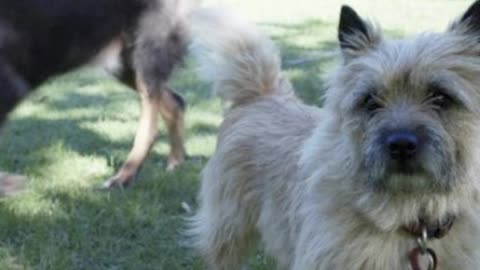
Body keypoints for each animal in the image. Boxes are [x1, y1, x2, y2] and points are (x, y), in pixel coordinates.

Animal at [0, 0, 191, 190]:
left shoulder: (11, 85)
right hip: (123, 62)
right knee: (175, 102)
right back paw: (175, 161)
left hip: (146, 50)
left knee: (150, 124)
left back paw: (124, 177)